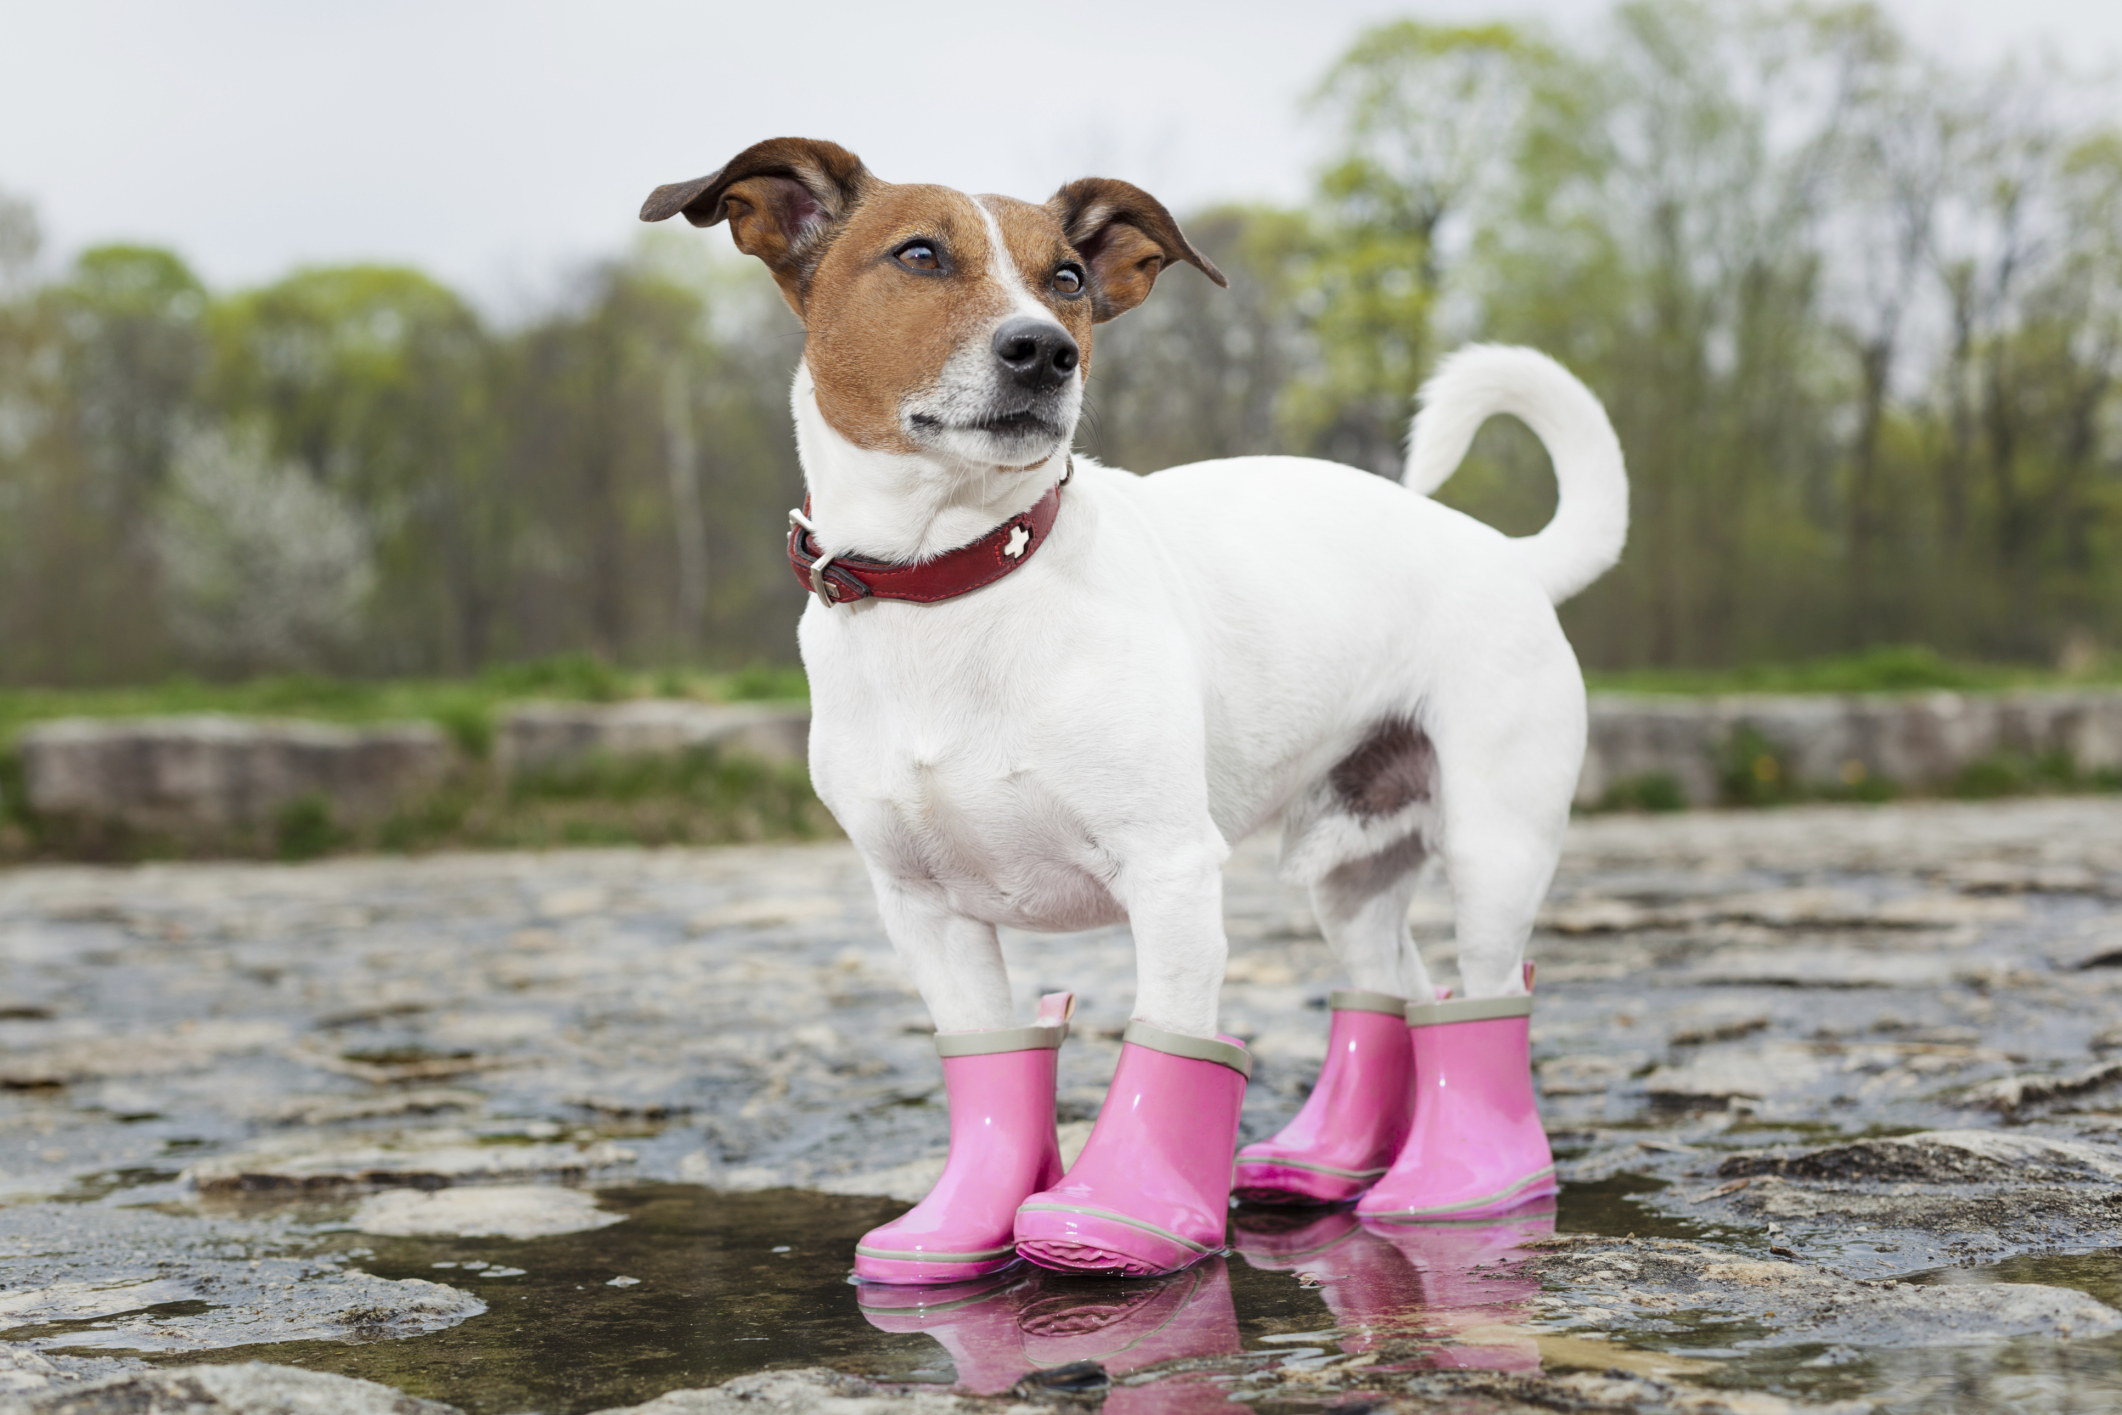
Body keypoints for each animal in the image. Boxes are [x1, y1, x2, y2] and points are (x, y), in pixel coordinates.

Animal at [640, 141, 1621, 1281]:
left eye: (1067, 277)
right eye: (919, 254)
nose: (1044, 350)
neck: (959, 580)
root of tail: (1508, 556)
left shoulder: (1170, 871)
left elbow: (1173, 1038)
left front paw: (1123, 1215)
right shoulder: (924, 910)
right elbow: (988, 1059)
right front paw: (962, 1227)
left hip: (1494, 845)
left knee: (1487, 993)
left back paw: (1471, 1183)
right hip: (1346, 864)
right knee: (1395, 987)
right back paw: (1329, 1161)